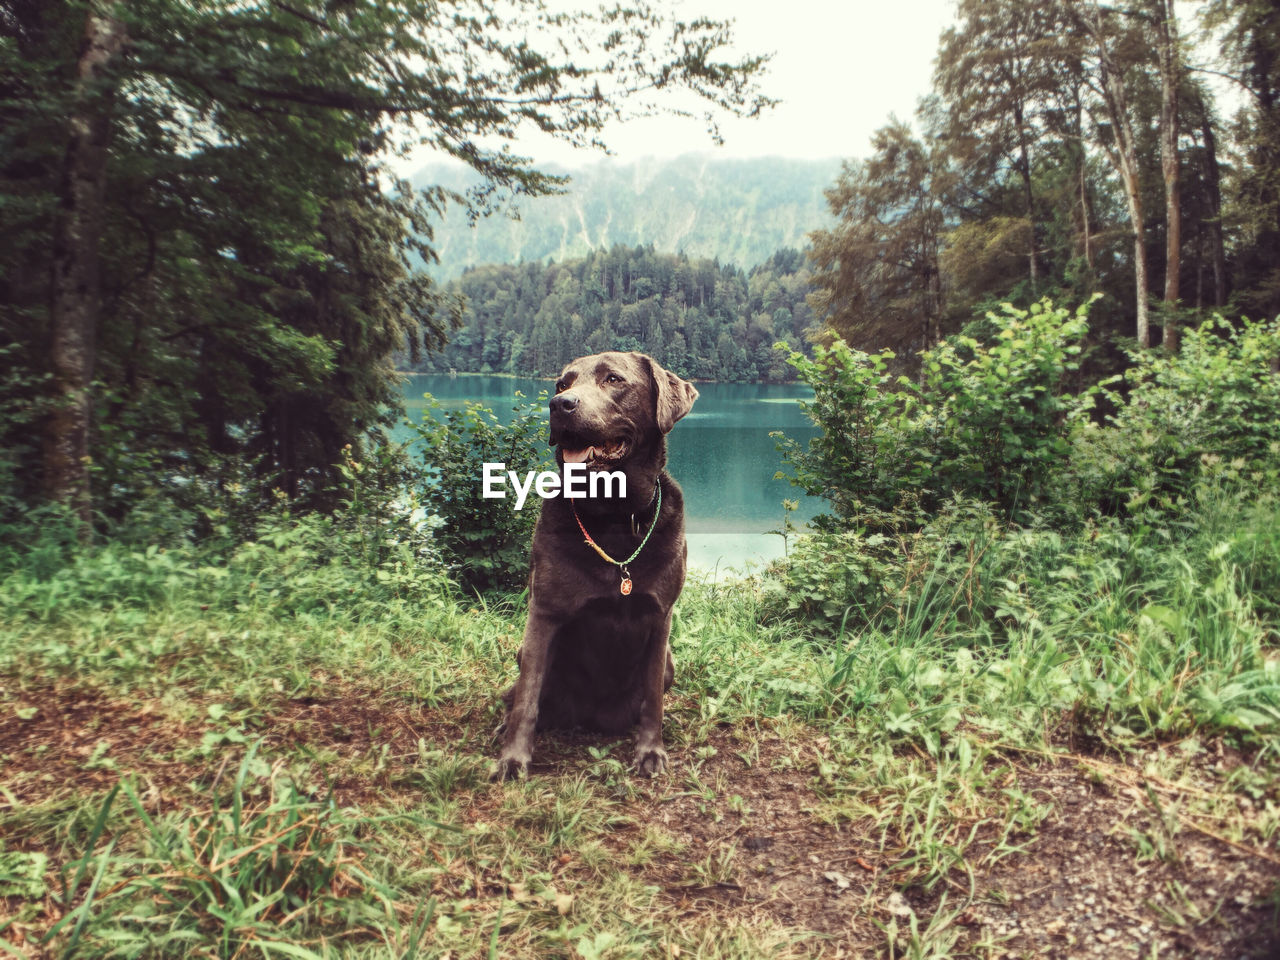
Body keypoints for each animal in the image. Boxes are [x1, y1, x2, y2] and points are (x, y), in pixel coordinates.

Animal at [488, 353, 696, 783]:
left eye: (613, 379)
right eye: (560, 384)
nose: (560, 405)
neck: (612, 519)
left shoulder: (661, 616)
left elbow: (653, 700)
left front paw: (650, 752)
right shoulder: (543, 613)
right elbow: (527, 699)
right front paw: (513, 759)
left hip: (671, 662)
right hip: (522, 651)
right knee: (519, 697)